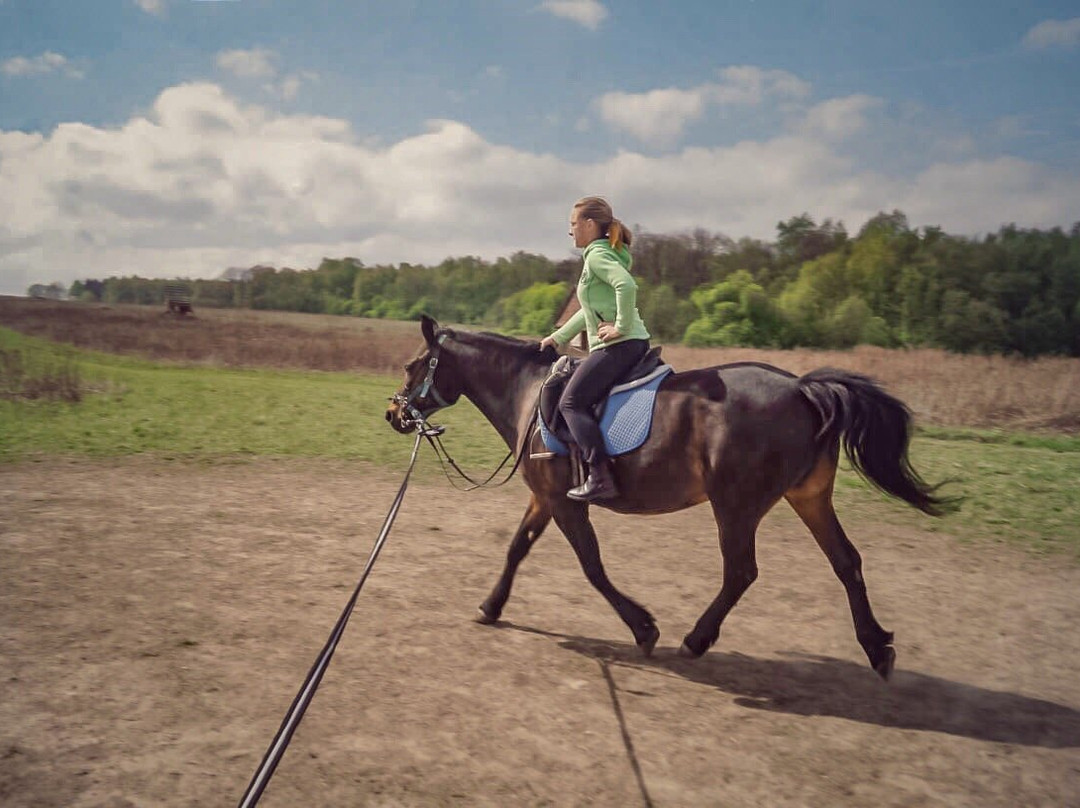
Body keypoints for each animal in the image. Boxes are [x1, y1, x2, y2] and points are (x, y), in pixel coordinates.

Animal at [384, 313, 950, 678]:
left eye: (413, 366)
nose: (393, 414)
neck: (528, 391)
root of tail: (802, 388)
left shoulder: (566, 501)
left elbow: (591, 566)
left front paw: (643, 628)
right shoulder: (546, 499)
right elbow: (516, 548)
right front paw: (491, 605)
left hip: (736, 505)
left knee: (741, 572)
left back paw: (696, 640)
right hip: (808, 499)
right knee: (846, 562)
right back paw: (876, 647)